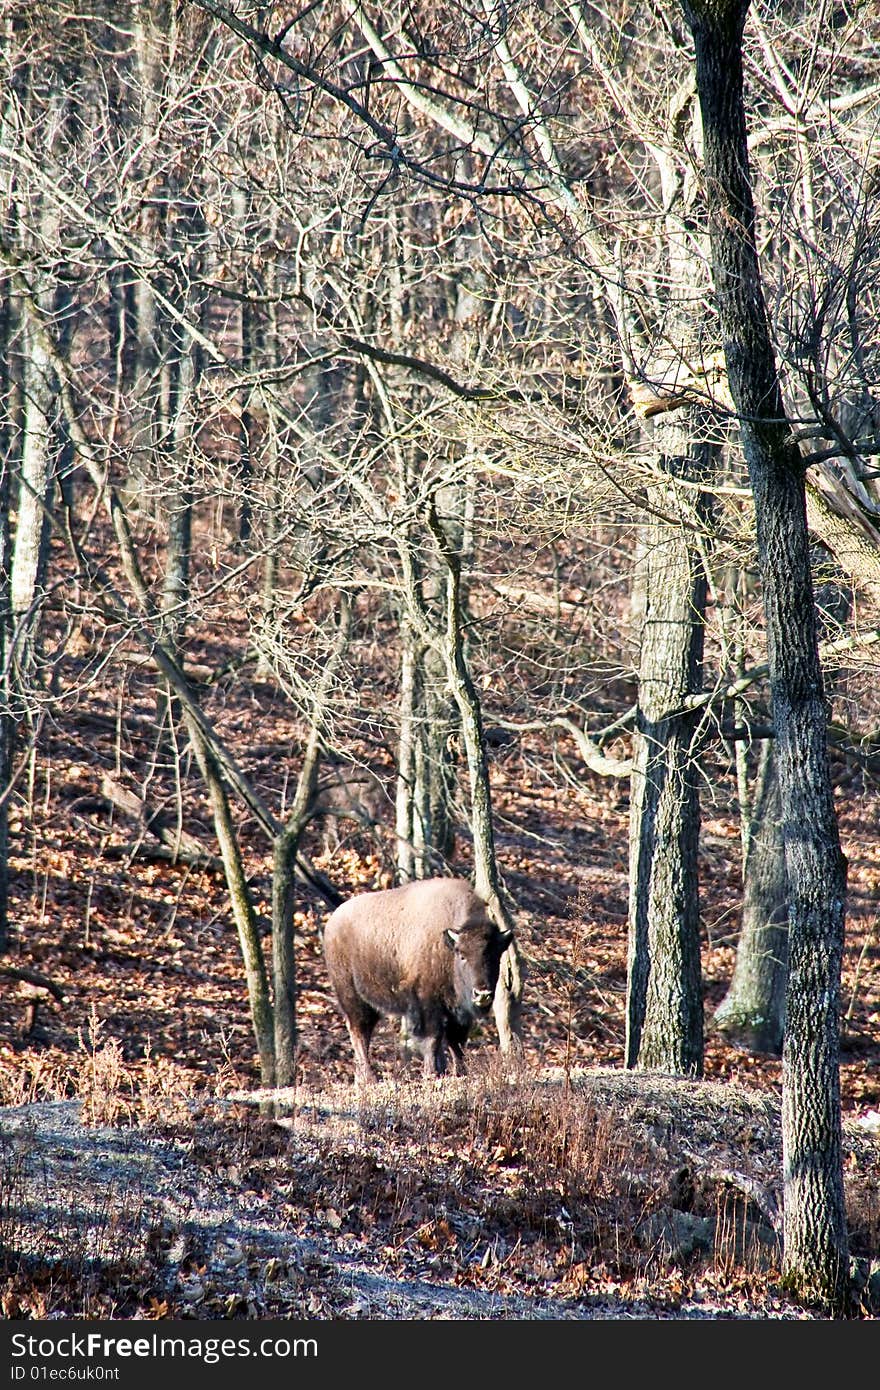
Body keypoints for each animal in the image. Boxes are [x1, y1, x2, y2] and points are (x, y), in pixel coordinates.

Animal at [322, 878, 514, 1084]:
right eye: (462, 955)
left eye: (495, 955)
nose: (482, 993)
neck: (446, 945)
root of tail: (333, 921)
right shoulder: (426, 1004)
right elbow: (433, 1038)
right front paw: (431, 1073)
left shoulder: (457, 1011)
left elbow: (456, 1042)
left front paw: (460, 1072)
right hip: (353, 998)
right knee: (359, 1033)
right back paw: (370, 1077)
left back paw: (360, 1078)